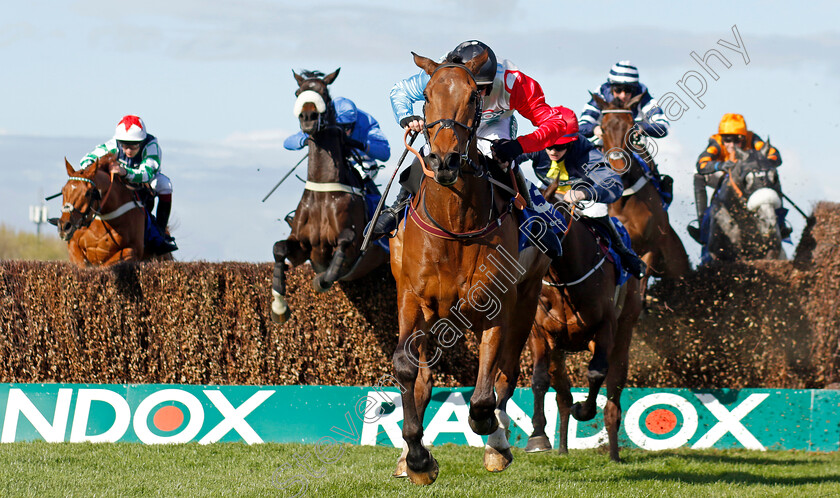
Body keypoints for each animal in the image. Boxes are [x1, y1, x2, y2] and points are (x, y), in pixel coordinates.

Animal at [270, 69, 388, 322]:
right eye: (298, 92)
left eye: (324, 92)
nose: (308, 117)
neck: (325, 194)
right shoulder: (302, 248)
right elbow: (279, 249)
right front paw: (279, 306)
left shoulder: (352, 249)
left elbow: (343, 244)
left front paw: (322, 279)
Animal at [388, 52, 552, 484]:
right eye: (426, 96)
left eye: (472, 98)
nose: (444, 161)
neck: (454, 223)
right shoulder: (411, 297)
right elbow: (406, 368)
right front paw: (417, 457)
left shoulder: (496, 304)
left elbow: (483, 394)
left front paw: (492, 435)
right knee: (425, 377)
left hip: (528, 300)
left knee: (505, 375)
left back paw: (501, 442)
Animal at [524, 182, 644, 462]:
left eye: (541, 227)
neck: (564, 280)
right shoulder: (541, 333)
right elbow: (540, 379)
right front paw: (538, 435)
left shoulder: (605, 328)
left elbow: (596, 373)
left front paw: (584, 410)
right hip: (559, 351)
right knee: (563, 396)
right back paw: (563, 448)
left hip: (623, 336)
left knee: (613, 400)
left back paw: (614, 455)